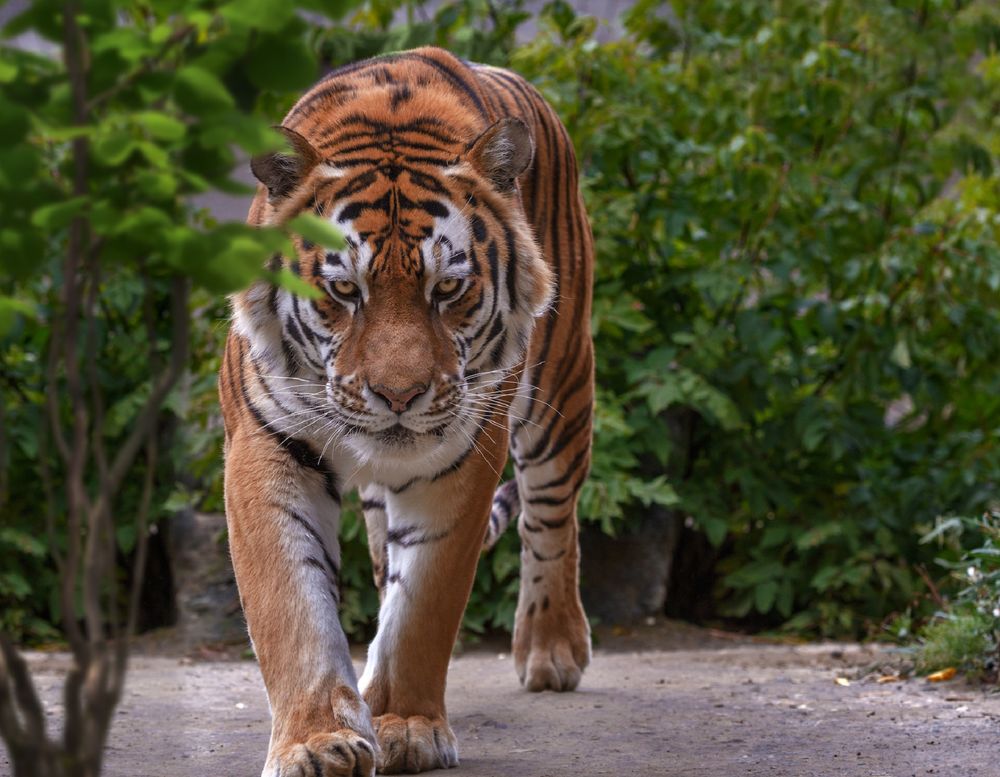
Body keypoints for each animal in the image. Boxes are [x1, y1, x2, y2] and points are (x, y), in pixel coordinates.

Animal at [219, 47, 592, 776]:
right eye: (343, 291)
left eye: (447, 288)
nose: (398, 395)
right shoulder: (266, 443)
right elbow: (291, 603)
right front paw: (317, 740)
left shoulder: (465, 455)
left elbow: (425, 603)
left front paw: (406, 725)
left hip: (561, 389)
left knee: (551, 517)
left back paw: (552, 647)